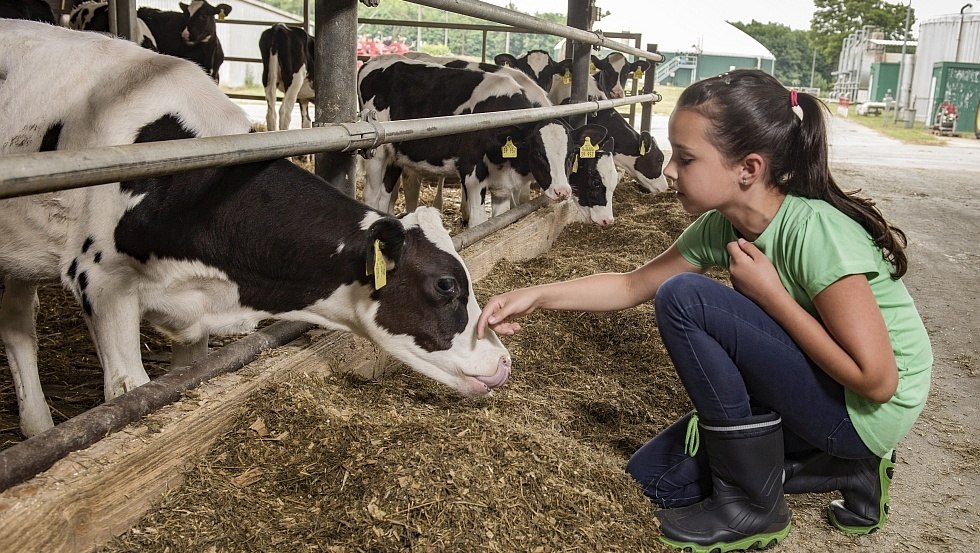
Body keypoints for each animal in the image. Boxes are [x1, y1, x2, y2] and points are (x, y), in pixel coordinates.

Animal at [1, 20, 512, 436]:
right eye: (446, 285)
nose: (505, 360)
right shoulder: (99, 283)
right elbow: (127, 390)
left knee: (17, 325)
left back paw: (37, 426)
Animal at [356, 55, 580, 226]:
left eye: (571, 154)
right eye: (538, 152)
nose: (563, 191)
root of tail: (374, 61)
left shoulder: (502, 187)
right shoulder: (472, 174)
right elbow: (477, 223)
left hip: (395, 156)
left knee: (386, 195)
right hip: (376, 154)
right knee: (373, 195)